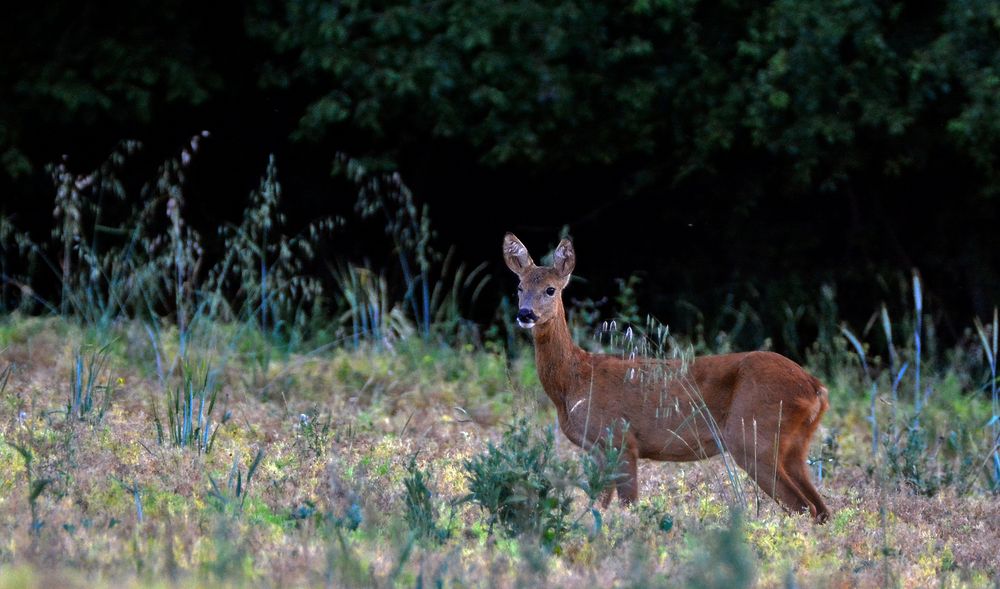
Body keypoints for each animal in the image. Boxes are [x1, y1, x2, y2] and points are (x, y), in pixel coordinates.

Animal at [504, 232, 832, 520]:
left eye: (550, 289)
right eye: (519, 287)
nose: (525, 314)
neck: (576, 380)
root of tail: (815, 388)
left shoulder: (620, 439)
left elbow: (626, 505)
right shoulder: (598, 448)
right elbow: (599, 505)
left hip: (752, 437)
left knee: (804, 507)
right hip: (793, 445)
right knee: (821, 509)